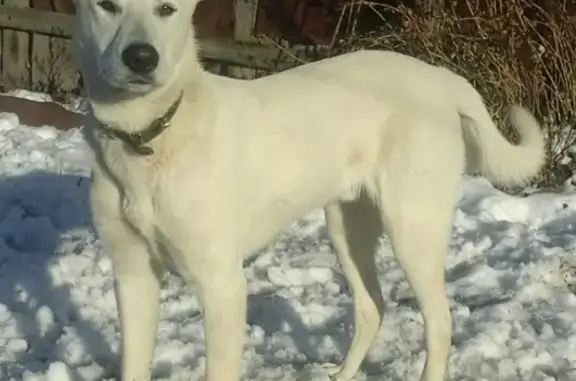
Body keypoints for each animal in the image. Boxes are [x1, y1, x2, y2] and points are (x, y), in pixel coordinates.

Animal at [71, 0, 544, 380]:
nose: (141, 58)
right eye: (107, 5)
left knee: (440, 321)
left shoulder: (222, 286)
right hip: (347, 227)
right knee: (372, 307)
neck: (149, 136)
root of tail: (442, 77)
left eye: (166, 9)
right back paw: (343, 373)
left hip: (413, 229)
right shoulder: (133, 276)